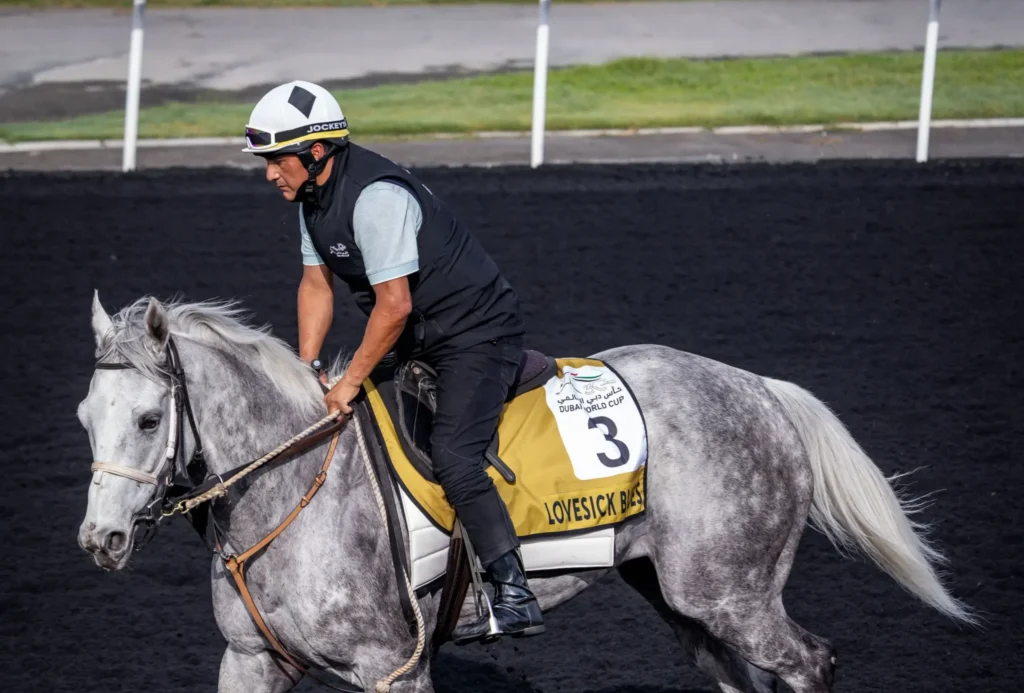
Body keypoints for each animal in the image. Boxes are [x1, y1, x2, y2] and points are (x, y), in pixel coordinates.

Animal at [77, 292, 974, 693]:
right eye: (86, 416)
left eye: (150, 418)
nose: (100, 541)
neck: (294, 486)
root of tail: (761, 389)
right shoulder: (251, 659)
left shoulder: (393, 668)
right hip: (686, 598)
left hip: (734, 593)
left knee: (810, 662)